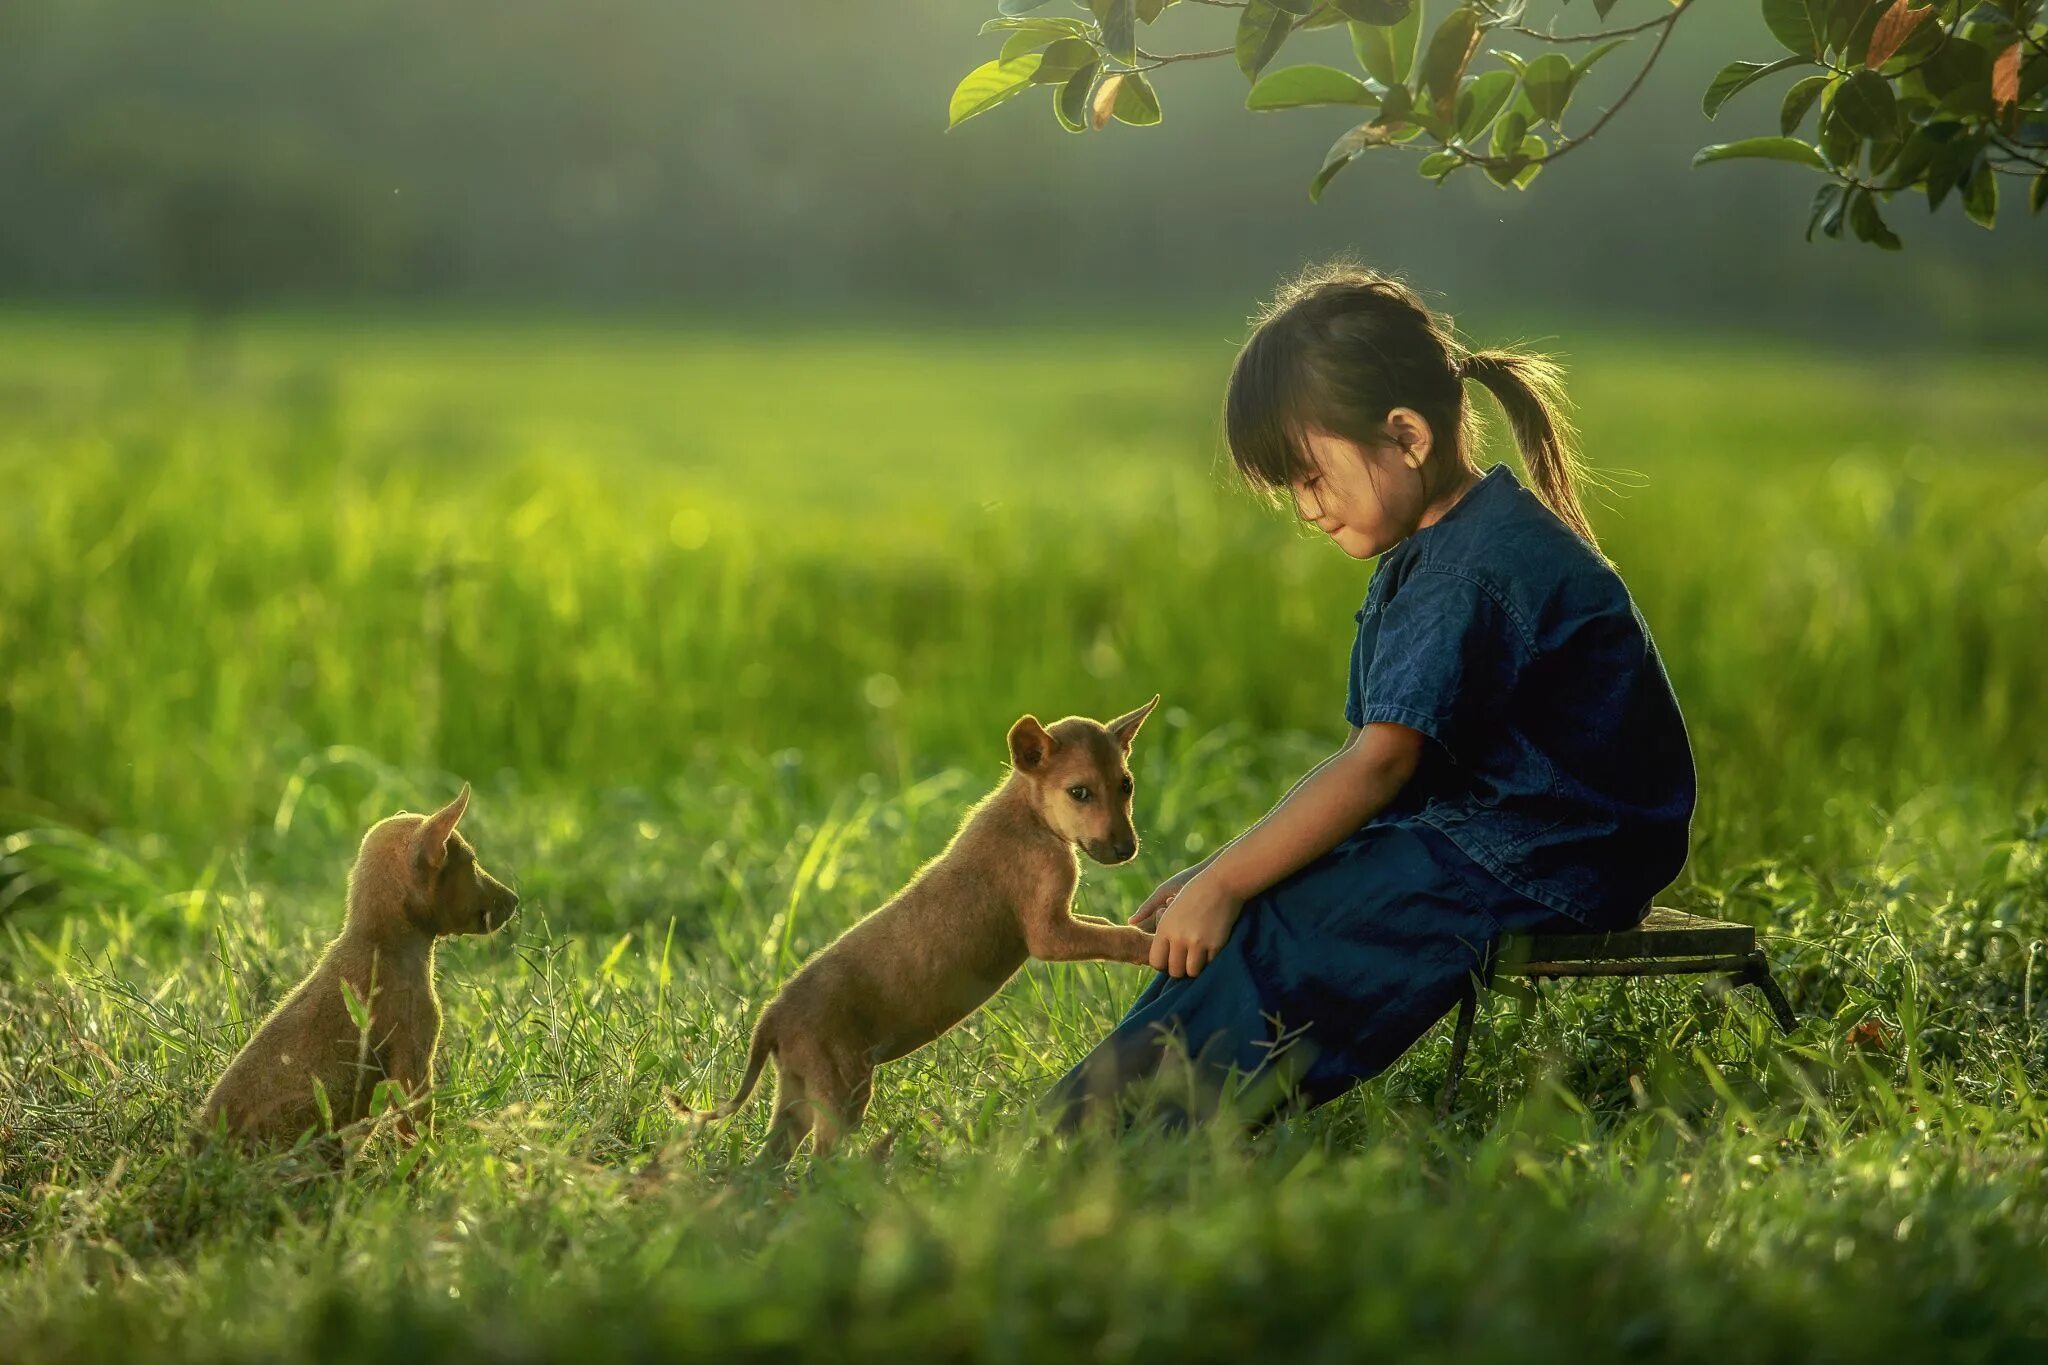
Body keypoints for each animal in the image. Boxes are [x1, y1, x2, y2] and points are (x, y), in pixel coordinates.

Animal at [671, 703, 1155, 1162]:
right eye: (1079, 792)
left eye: (1126, 785)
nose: (1126, 849)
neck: (1030, 813)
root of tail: (769, 1017)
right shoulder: (1048, 933)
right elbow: (1117, 937)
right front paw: (1154, 945)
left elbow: (1107, 926)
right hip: (841, 1089)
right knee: (819, 1165)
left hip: (798, 1091)